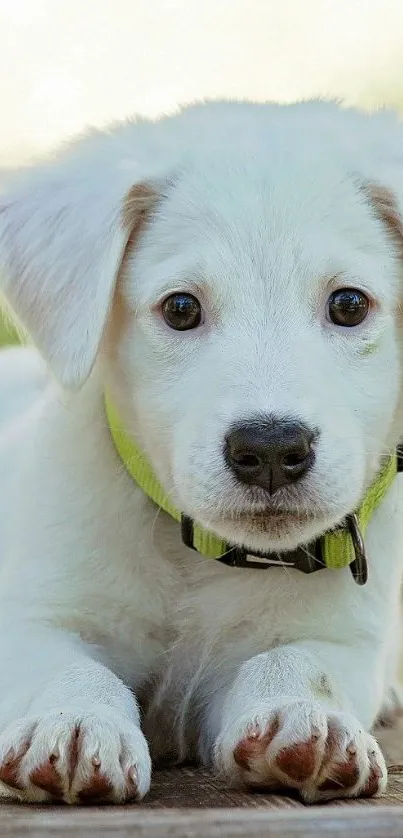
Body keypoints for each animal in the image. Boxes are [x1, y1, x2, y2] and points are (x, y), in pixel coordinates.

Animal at [0, 100, 403, 808]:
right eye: (181, 308)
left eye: (350, 303)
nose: (270, 448)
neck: (200, 557)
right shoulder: (31, 615)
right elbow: (65, 668)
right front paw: (72, 722)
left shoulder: (345, 640)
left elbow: (297, 660)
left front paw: (306, 716)